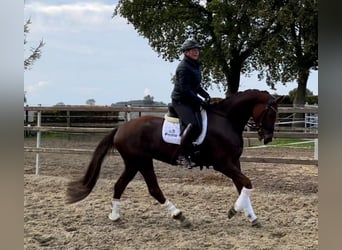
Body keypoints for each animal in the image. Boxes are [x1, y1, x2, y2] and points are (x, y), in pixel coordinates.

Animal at [66, 89, 284, 227]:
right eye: (270, 114)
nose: (267, 138)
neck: (226, 120)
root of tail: (121, 128)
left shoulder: (234, 162)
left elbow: (242, 186)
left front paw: (252, 217)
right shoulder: (222, 164)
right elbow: (247, 183)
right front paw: (234, 210)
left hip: (134, 163)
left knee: (120, 185)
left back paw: (115, 216)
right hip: (141, 161)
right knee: (153, 189)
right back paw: (179, 216)